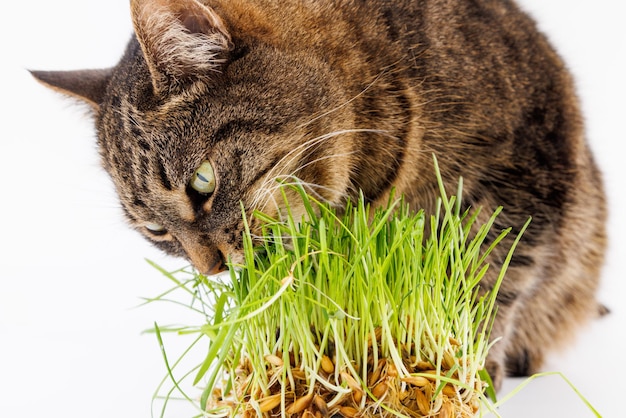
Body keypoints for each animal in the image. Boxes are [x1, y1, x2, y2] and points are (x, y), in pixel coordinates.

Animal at [29, 0, 604, 392]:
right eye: (155, 231)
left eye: (202, 183)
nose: (211, 268)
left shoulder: (525, 179)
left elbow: (485, 283)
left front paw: (469, 369)